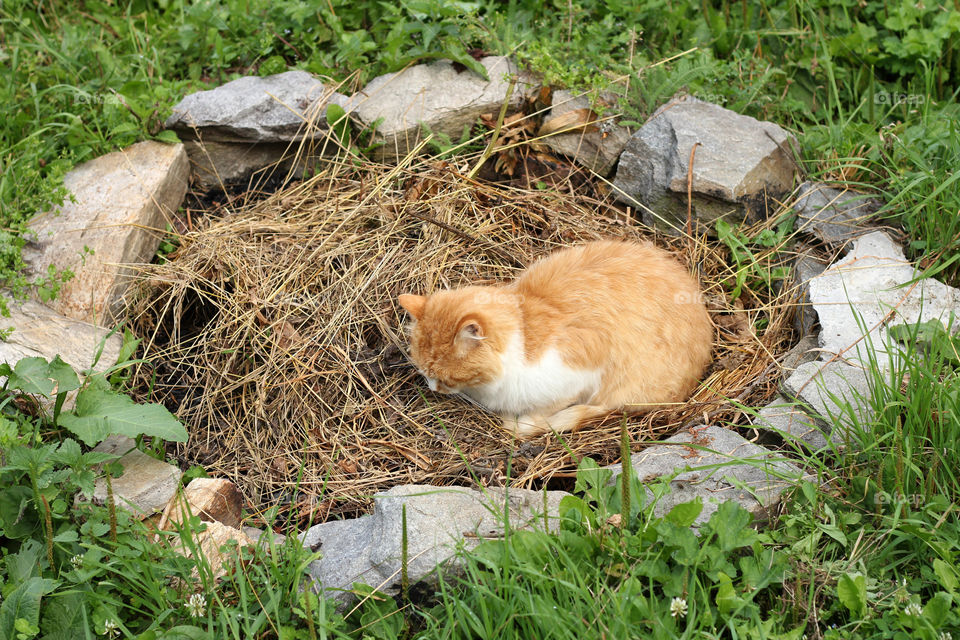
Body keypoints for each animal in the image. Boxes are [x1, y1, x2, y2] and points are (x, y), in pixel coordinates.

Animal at [398, 240, 712, 440]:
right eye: (424, 371)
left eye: (445, 377)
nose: (433, 388)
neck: (524, 329)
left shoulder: (578, 377)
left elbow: (547, 409)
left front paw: (523, 422)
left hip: (630, 394)